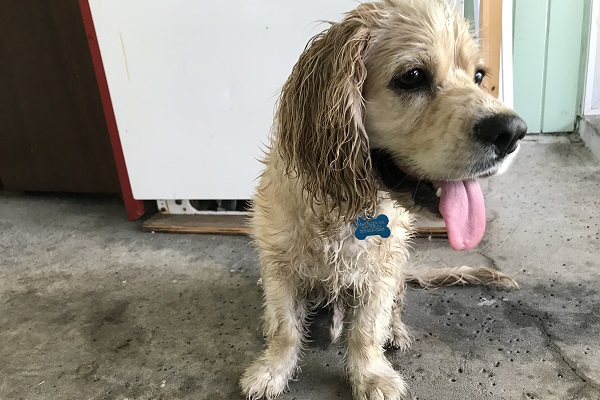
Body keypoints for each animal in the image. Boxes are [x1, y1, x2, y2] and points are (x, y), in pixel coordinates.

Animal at [239, 1, 524, 398]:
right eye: (412, 76)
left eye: (479, 76)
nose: (512, 132)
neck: (347, 208)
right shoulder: (279, 268)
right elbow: (285, 329)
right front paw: (271, 371)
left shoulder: (380, 274)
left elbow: (366, 331)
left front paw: (371, 375)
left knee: (395, 310)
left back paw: (396, 331)